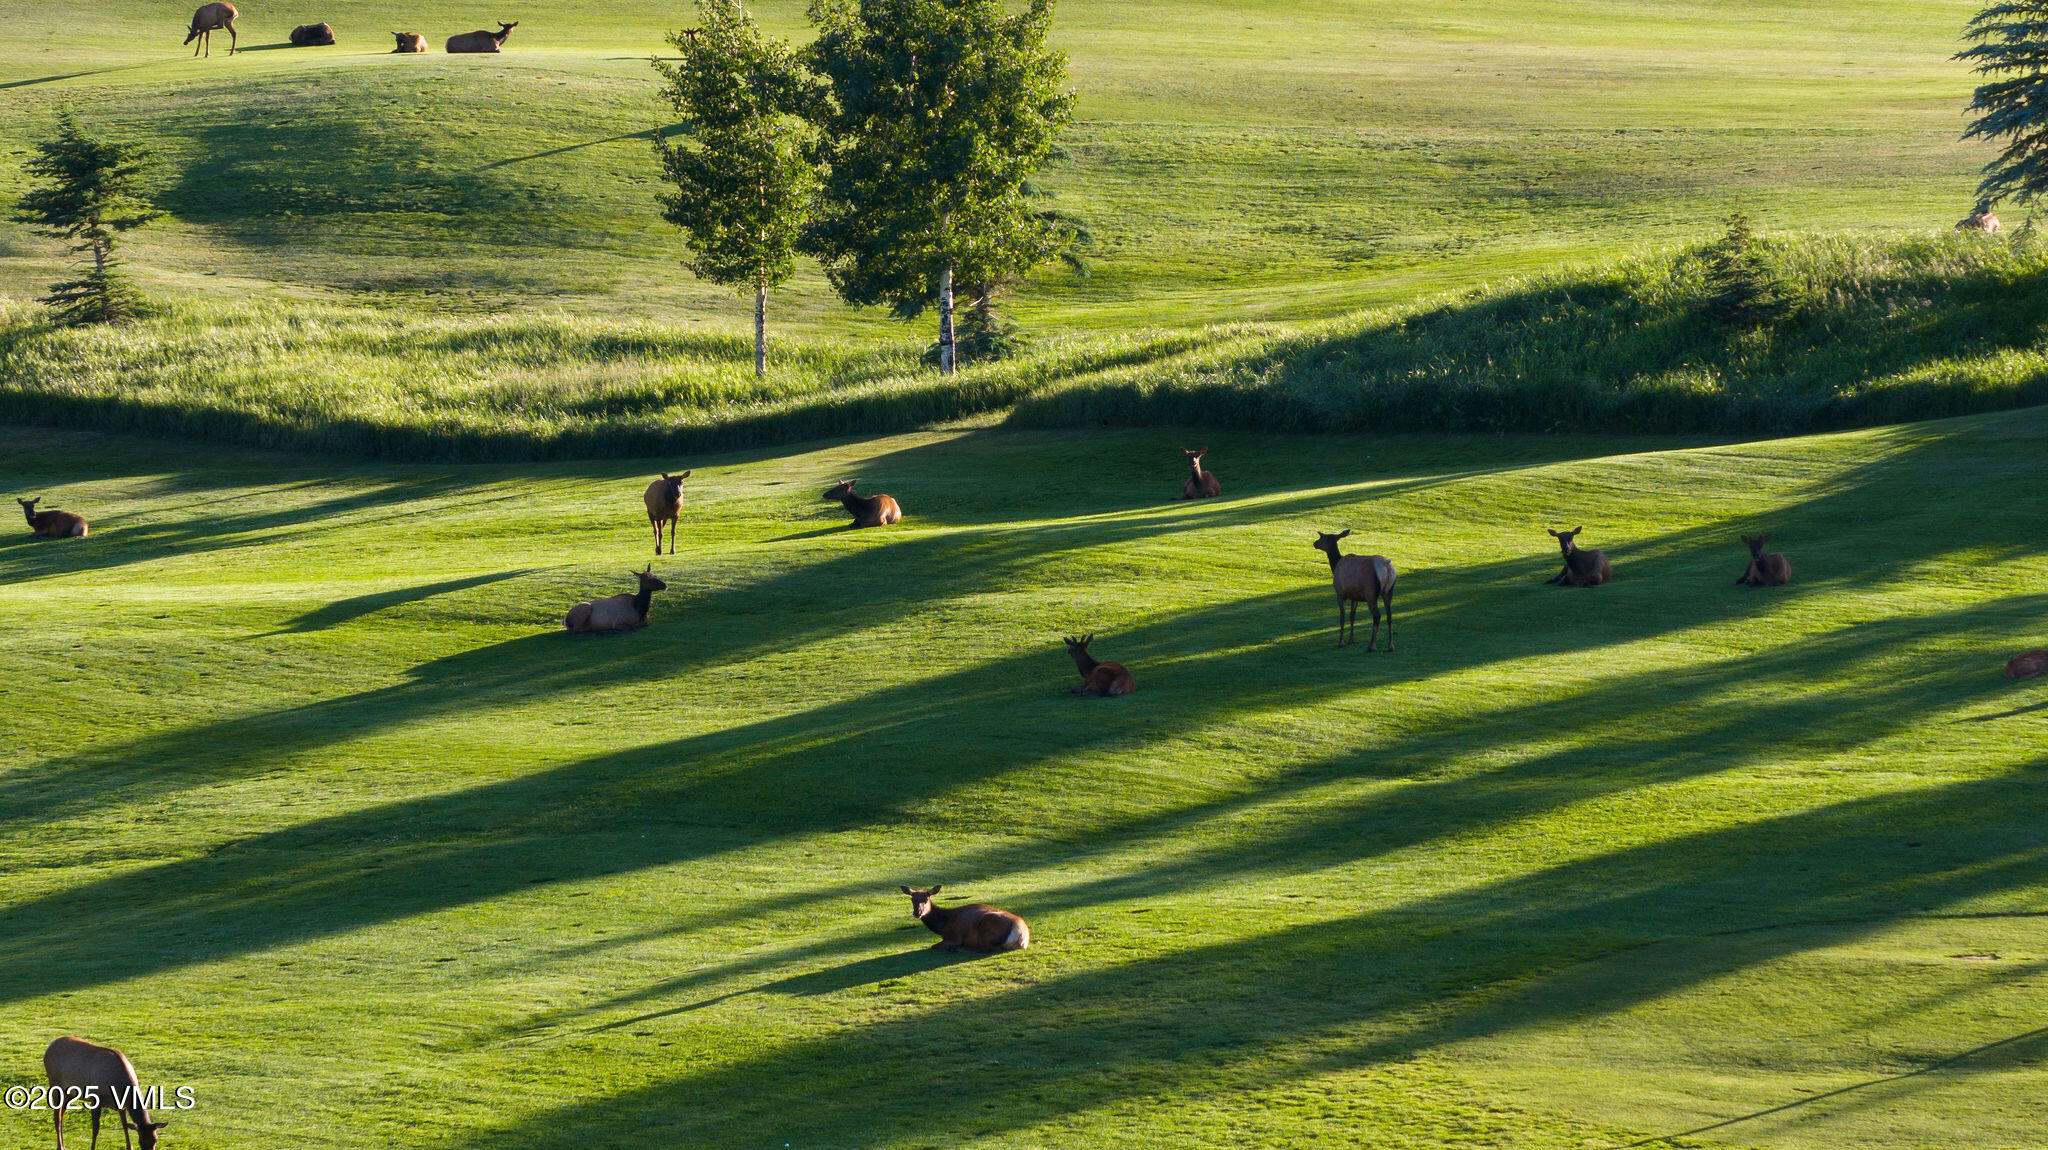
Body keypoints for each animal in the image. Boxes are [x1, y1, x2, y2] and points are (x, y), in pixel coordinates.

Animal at [899, 886, 1030, 952]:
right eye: (912, 899)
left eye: (926, 899)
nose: (917, 912)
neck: (942, 926)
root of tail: (1021, 937)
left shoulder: (955, 936)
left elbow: (934, 946)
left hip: (987, 927)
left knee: (987, 948)